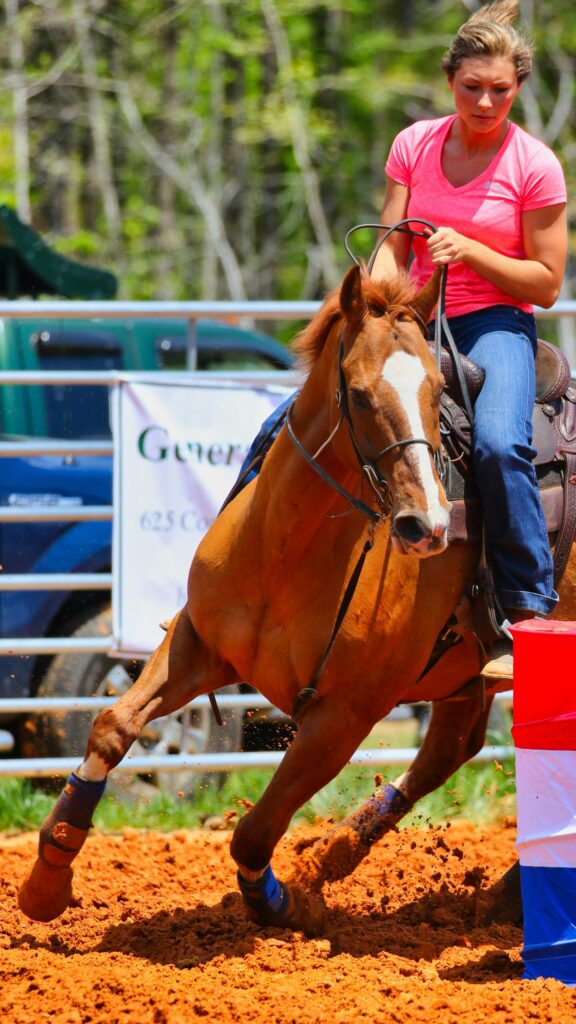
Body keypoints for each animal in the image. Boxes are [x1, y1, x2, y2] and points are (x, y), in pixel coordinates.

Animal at [18, 263, 576, 932]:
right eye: (358, 394)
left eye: (437, 388)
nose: (430, 526)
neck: (288, 549)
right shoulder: (197, 641)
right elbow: (111, 726)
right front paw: (47, 881)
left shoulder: (345, 715)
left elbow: (255, 833)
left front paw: (287, 905)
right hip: (462, 673)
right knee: (450, 747)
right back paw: (346, 857)